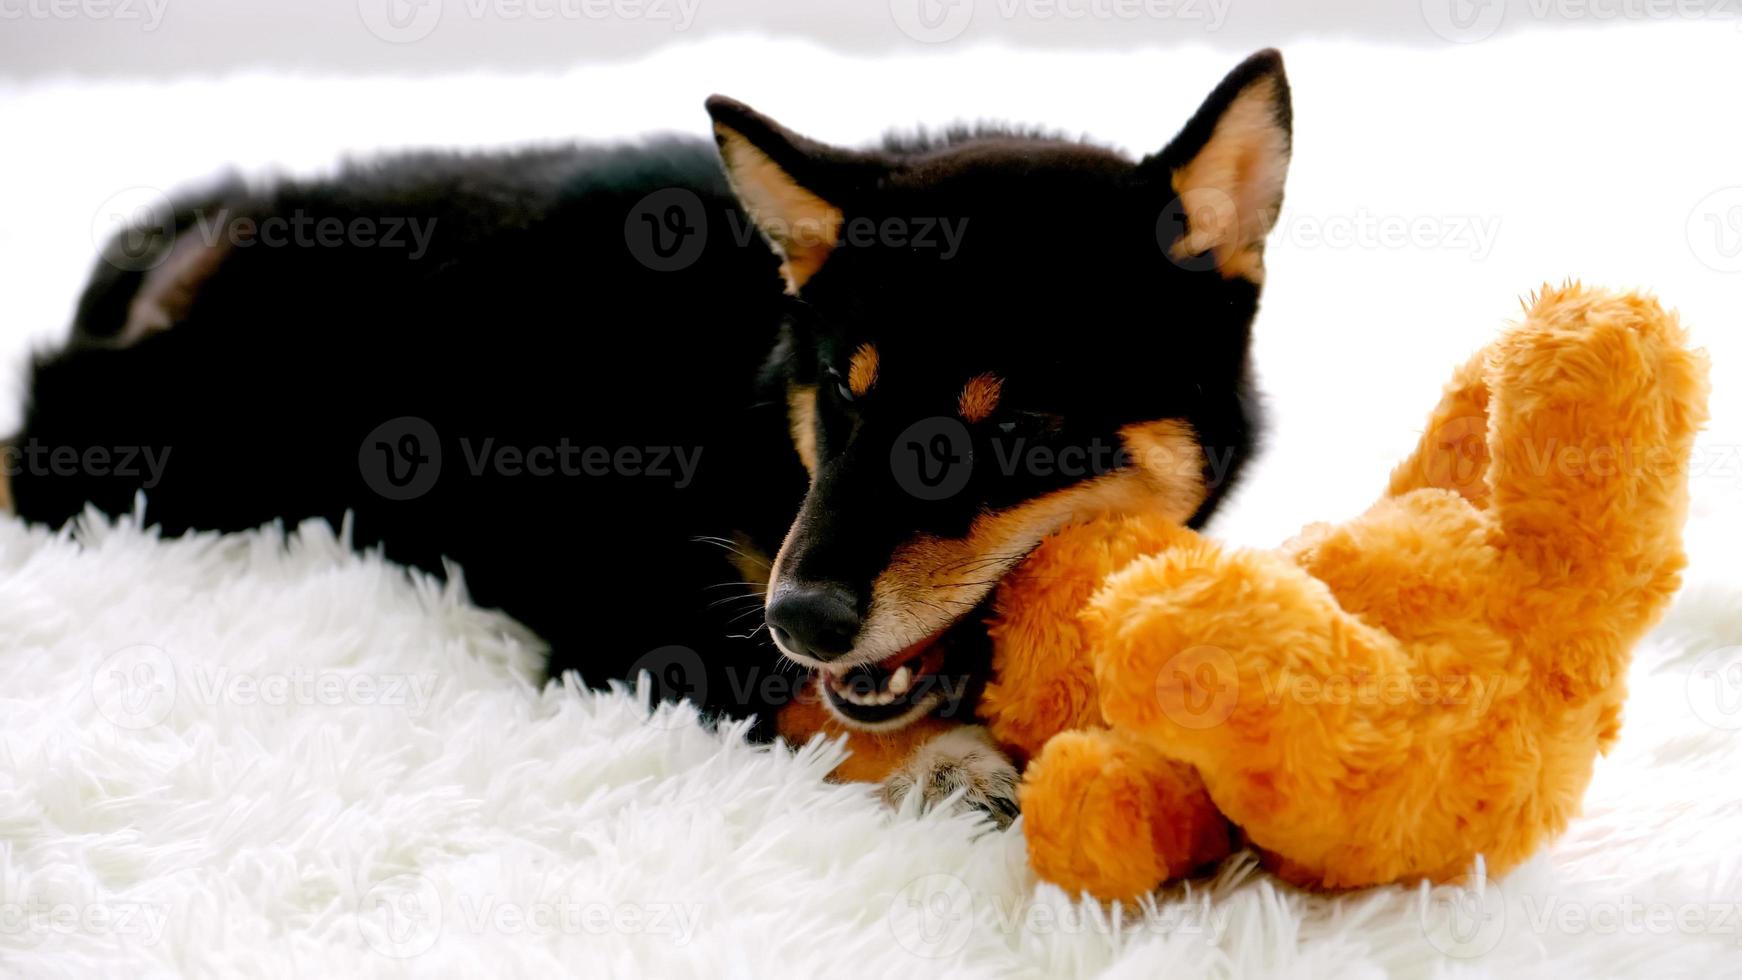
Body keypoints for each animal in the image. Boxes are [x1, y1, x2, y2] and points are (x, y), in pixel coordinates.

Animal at [10, 49, 1296, 825]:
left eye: (1020, 424)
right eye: (841, 393)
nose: (804, 613)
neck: (747, 405)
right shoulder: (626, 617)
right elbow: (790, 698)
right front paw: (944, 763)